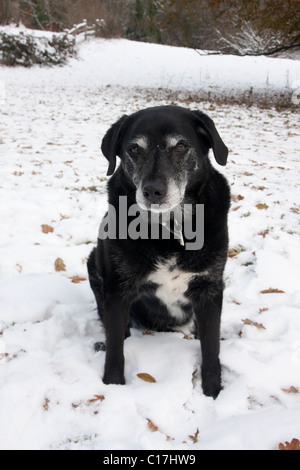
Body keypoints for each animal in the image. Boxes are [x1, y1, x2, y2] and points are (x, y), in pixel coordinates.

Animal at [88, 105, 231, 396]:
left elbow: (211, 349)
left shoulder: (210, 289)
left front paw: (213, 393)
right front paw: (113, 386)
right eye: (134, 149)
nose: (153, 191)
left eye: (181, 146)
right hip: (93, 266)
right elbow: (116, 350)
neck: (169, 229)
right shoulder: (117, 290)